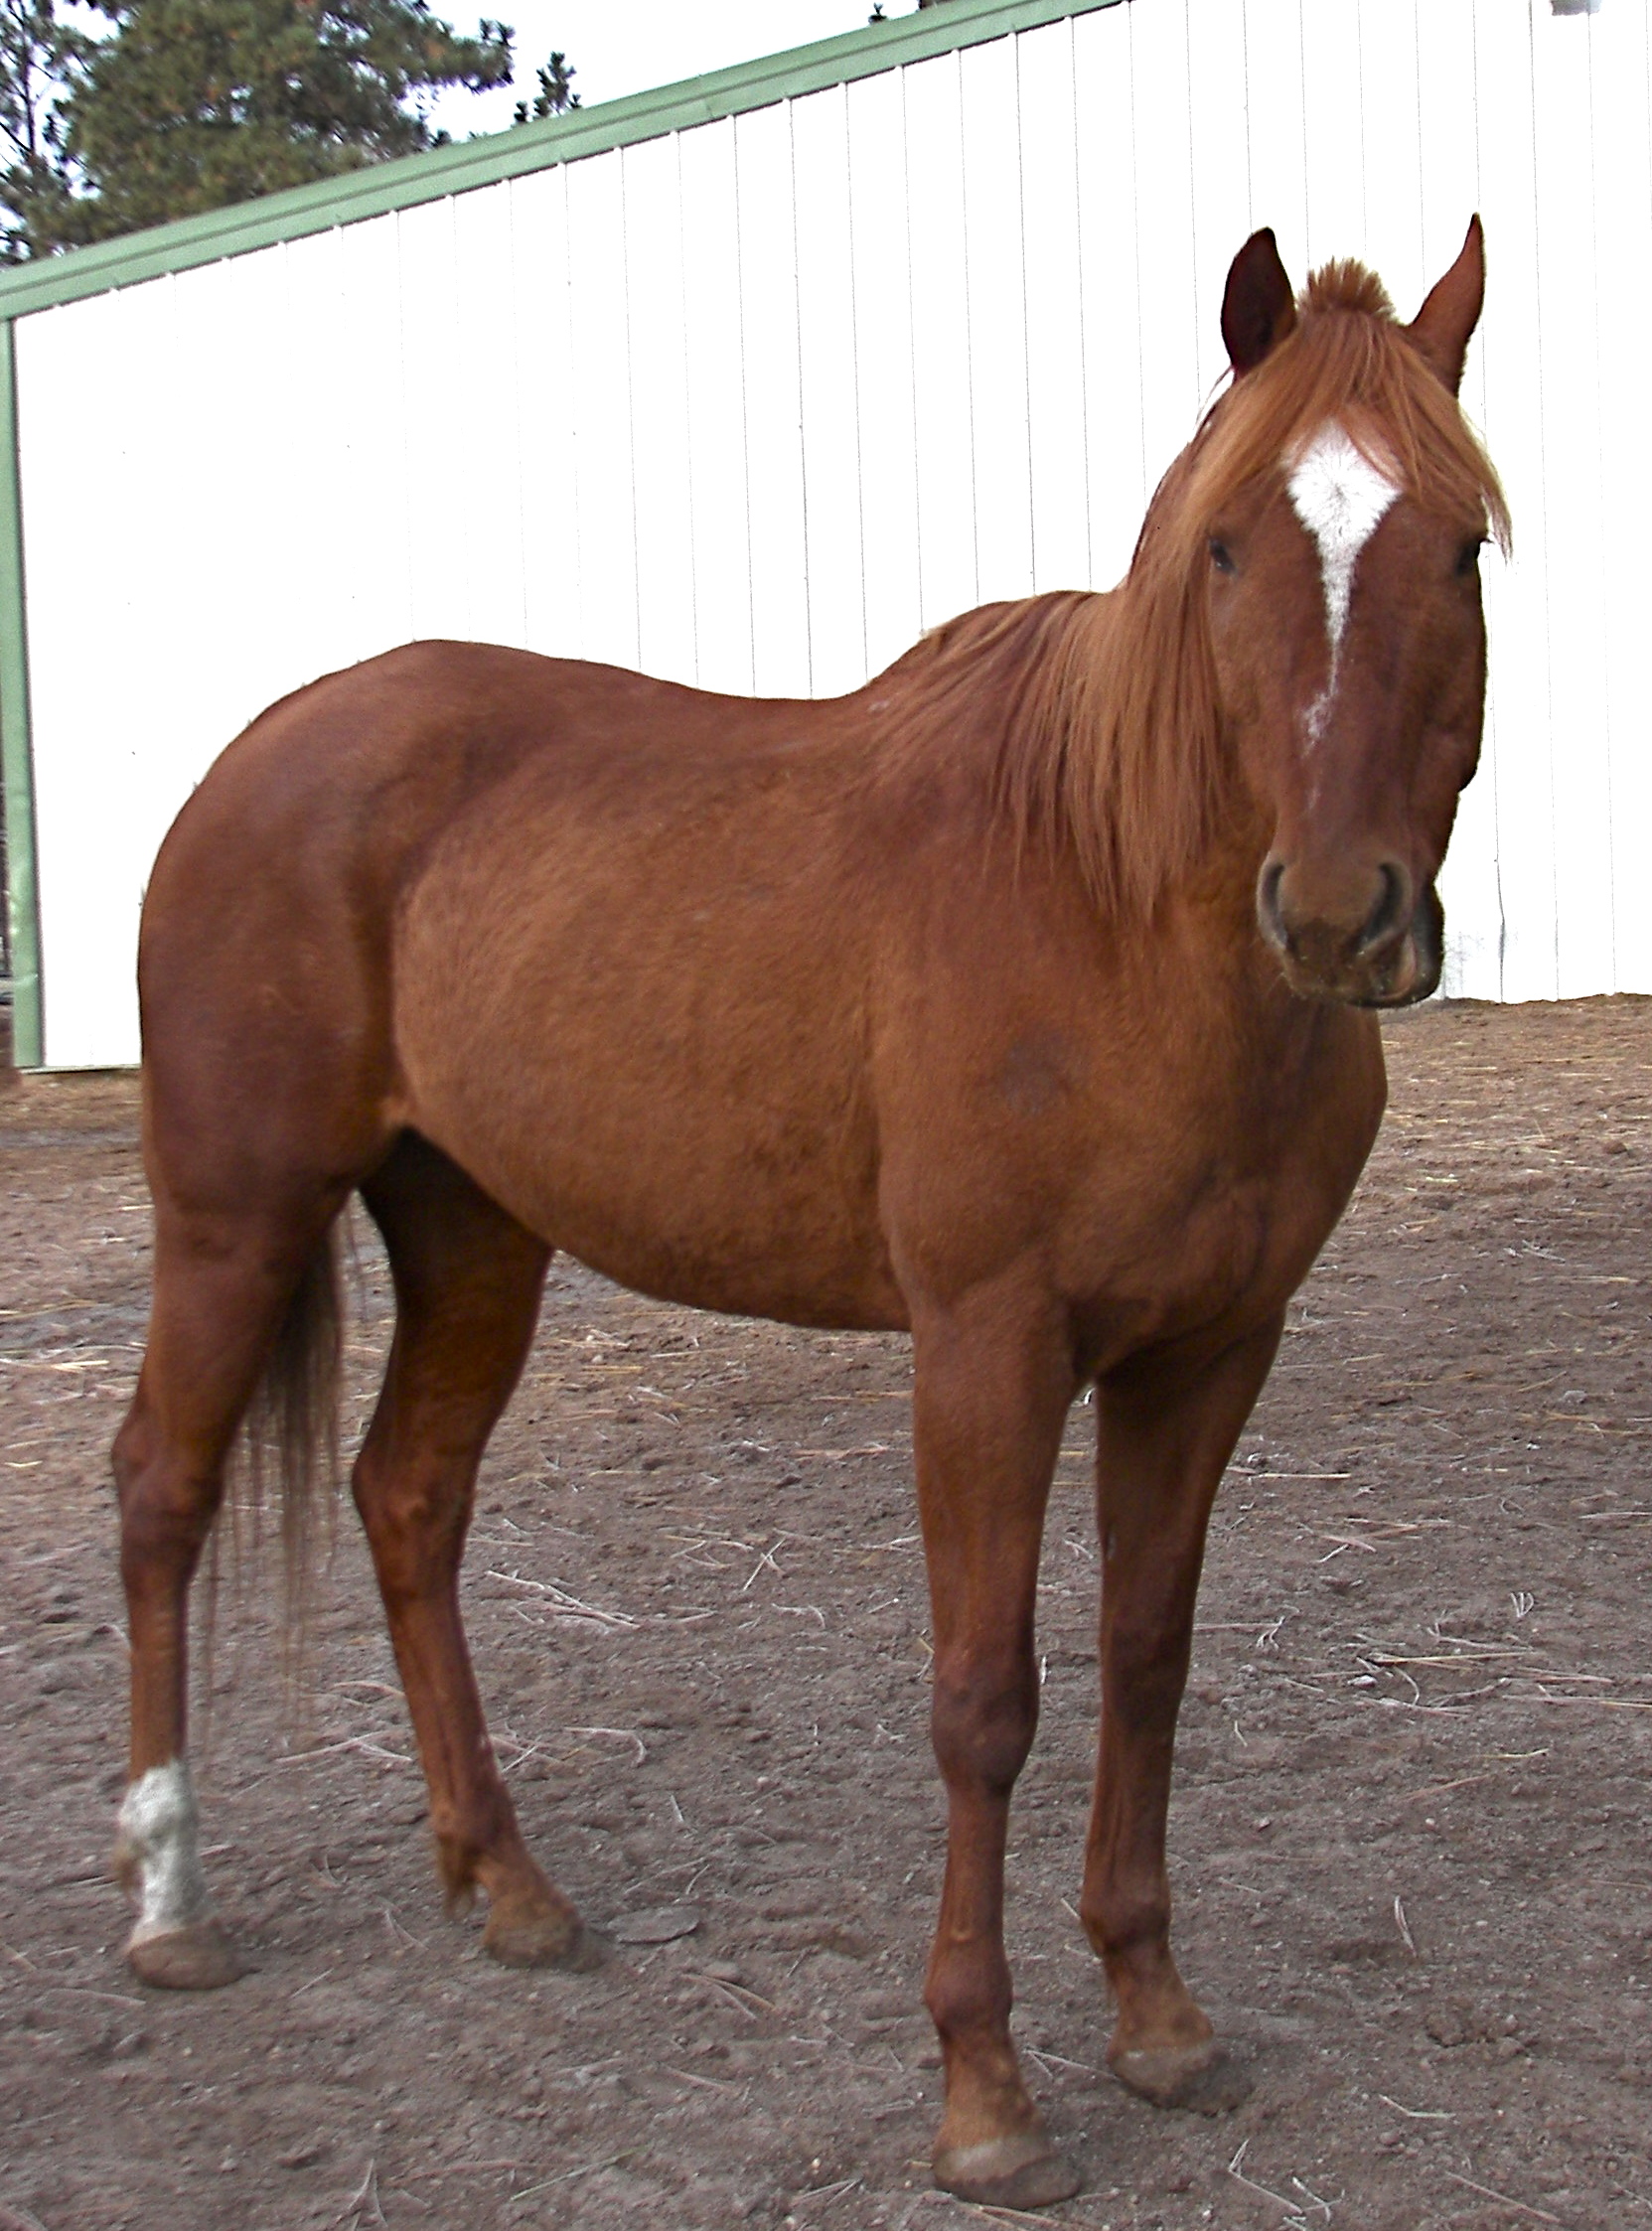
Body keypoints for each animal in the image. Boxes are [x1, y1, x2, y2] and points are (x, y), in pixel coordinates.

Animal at [108, 219, 1505, 2209]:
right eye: (1229, 545)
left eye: (1454, 543)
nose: (1335, 913)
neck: (1111, 909)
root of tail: (266, 752)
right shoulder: (985, 1350)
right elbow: (982, 1699)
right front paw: (985, 2094)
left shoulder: (1211, 1351)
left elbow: (1144, 1660)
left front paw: (1155, 2018)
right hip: (237, 1214)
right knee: (163, 1490)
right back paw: (170, 1904)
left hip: (473, 1232)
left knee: (407, 1500)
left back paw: (506, 1883)